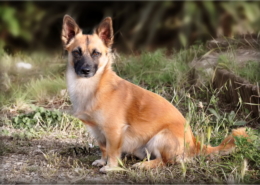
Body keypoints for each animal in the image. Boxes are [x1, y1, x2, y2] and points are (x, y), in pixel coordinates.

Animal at [61, 15, 248, 173]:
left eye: (96, 53)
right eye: (76, 52)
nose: (85, 70)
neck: (93, 86)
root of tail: (195, 143)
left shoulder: (114, 131)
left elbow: (113, 151)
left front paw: (110, 167)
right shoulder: (97, 131)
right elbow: (103, 148)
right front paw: (102, 160)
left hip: (160, 137)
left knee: (166, 161)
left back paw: (145, 165)